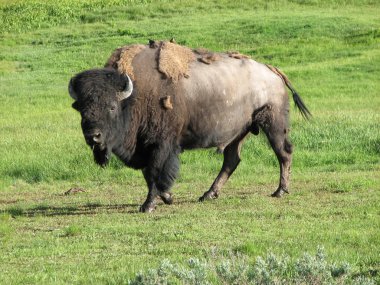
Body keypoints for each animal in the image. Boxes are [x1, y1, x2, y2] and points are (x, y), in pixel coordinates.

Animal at [69, 41, 312, 211]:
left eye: (111, 107)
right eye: (81, 109)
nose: (93, 136)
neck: (133, 95)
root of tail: (272, 71)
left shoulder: (161, 145)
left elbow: (155, 171)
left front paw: (148, 205)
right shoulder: (146, 148)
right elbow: (149, 174)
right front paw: (167, 197)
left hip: (273, 124)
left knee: (284, 152)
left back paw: (280, 191)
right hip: (239, 132)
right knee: (232, 160)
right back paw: (208, 194)